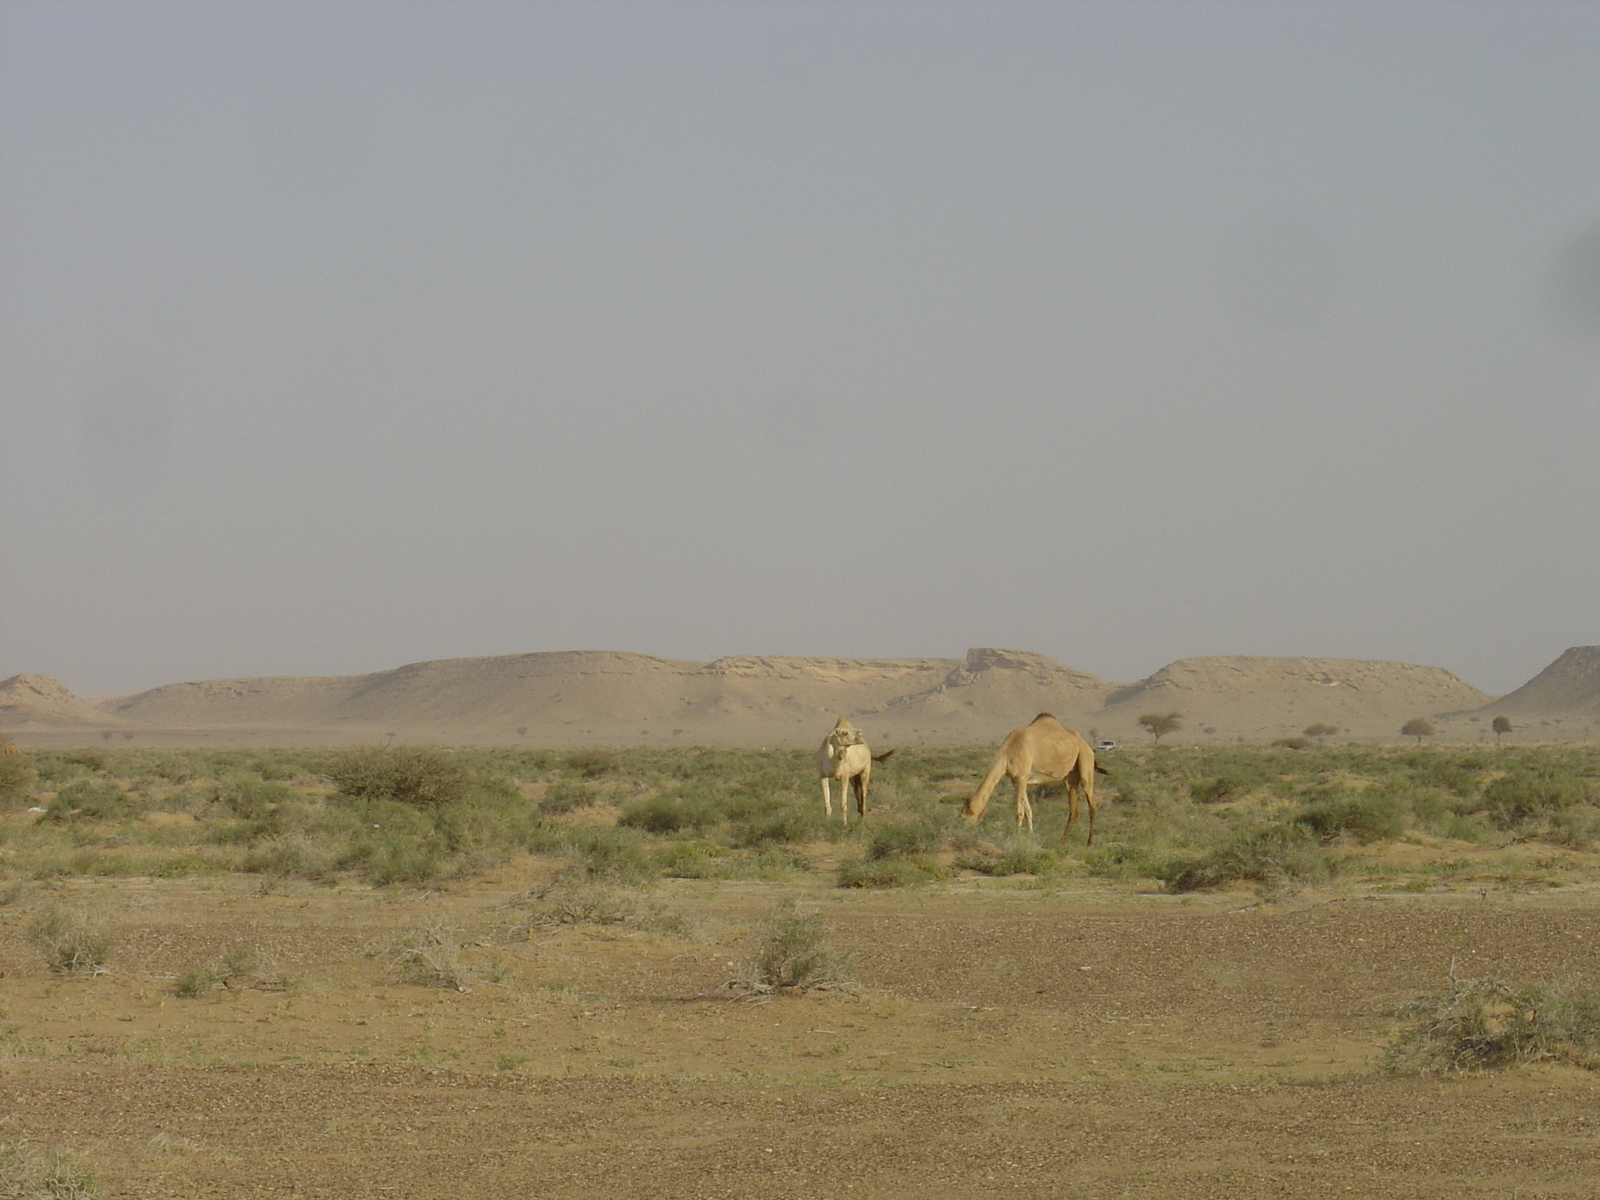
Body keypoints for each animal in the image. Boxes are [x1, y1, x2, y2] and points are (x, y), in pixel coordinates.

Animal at [960, 713, 1100, 844]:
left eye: (965, 815)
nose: (963, 828)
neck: (1008, 752)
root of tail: (1086, 745)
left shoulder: (1022, 777)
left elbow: (1019, 812)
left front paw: (1017, 835)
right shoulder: (1016, 781)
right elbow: (1028, 809)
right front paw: (1030, 834)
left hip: (1085, 758)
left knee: (1091, 803)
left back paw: (1089, 842)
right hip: (1070, 775)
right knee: (1073, 808)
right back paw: (1062, 840)